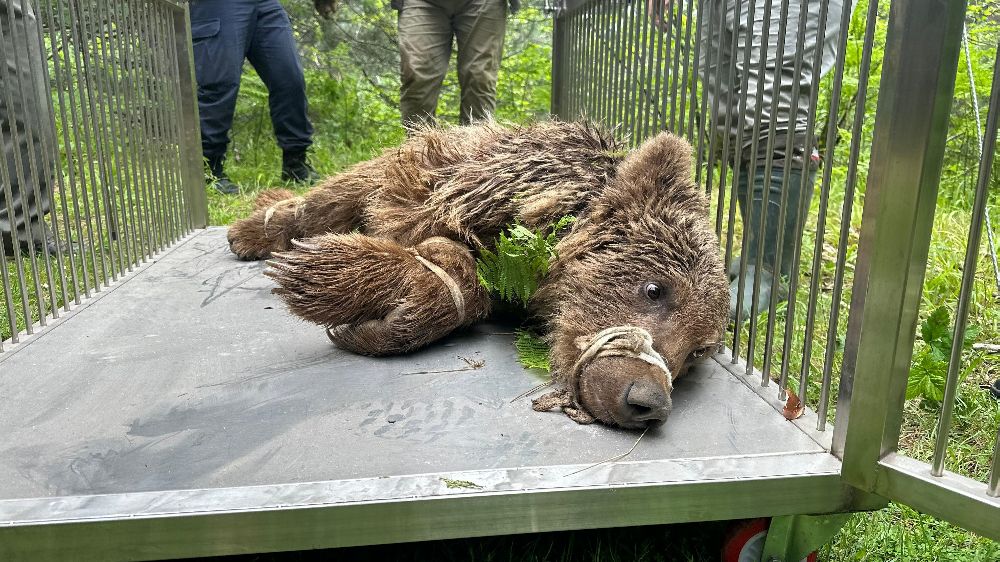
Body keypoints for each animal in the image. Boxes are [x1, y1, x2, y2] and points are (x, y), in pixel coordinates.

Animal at [227, 121, 728, 428]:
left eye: (698, 351)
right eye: (654, 289)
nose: (648, 402)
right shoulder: (458, 184)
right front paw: (324, 274)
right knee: (332, 194)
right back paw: (255, 227)